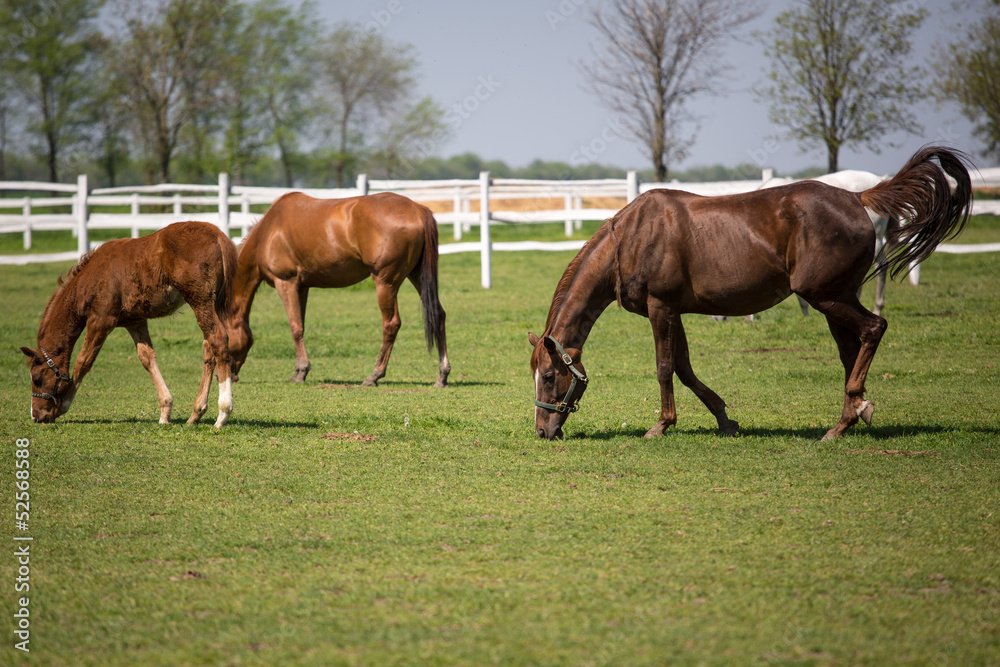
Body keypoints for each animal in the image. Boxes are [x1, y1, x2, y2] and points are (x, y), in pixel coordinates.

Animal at [21, 221, 237, 428]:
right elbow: (147, 358)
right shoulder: (135, 322)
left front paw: (64, 404)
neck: (90, 278)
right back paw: (196, 414)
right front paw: (165, 412)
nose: (36, 416)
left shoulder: (101, 321)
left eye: (37, 379)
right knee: (209, 349)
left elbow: (83, 361)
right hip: (212, 304)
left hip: (200, 301)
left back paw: (223, 413)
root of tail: (217, 234)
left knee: (218, 340)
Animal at [229, 191, 450, 388]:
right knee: (439, 314)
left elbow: (295, 328)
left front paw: (300, 372)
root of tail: (417, 209)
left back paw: (374, 375)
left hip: (385, 283)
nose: (230, 375)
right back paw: (442, 375)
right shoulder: (302, 287)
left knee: (391, 324)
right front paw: (300, 371)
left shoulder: (286, 283)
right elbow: (301, 325)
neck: (268, 232)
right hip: (417, 275)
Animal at [529, 146, 972, 441]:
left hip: (826, 296)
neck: (633, 237)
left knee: (873, 329)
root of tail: (855, 197)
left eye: (549, 375)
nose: (543, 431)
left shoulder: (661, 308)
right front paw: (725, 419)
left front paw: (661, 425)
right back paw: (849, 416)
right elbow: (685, 368)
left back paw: (851, 412)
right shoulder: (676, 311)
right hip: (835, 300)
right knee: (852, 350)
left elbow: (664, 367)